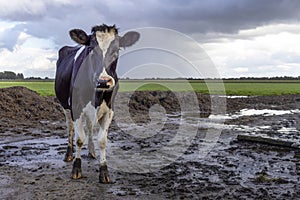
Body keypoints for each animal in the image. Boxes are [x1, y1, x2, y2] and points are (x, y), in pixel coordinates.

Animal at [54, 23, 139, 183]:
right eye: (91, 50)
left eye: (116, 50)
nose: (103, 81)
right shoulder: (76, 108)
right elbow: (79, 139)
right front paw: (76, 168)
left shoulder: (109, 110)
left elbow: (102, 140)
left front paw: (104, 171)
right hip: (66, 108)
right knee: (70, 128)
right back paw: (69, 154)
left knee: (89, 126)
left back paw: (92, 151)